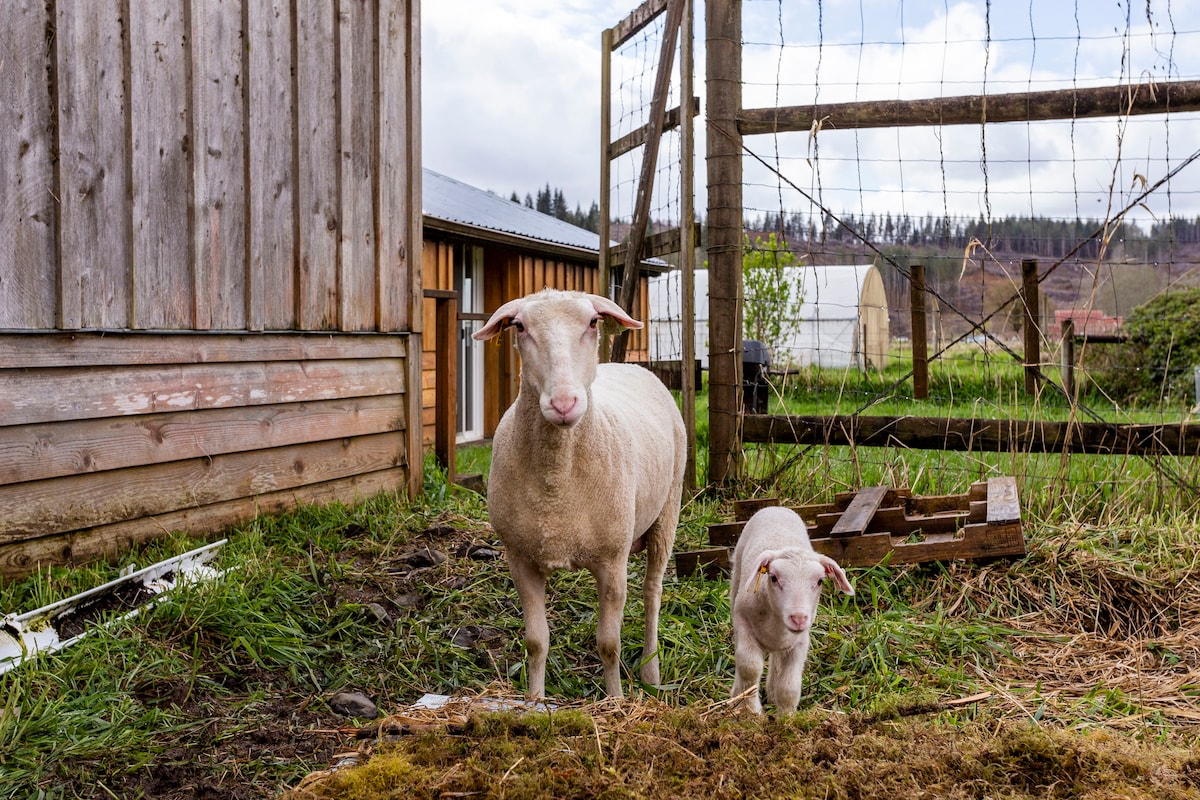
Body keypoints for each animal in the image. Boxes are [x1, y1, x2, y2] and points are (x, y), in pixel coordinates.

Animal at [472, 289, 691, 700]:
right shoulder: (519, 558)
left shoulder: (612, 560)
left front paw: (616, 701)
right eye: (520, 326)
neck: (556, 484)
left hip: (668, 509)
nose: (563, 404)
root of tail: (630, 366)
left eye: (592, 323)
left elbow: (609, 644)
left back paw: (651, 672)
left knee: (652, 593)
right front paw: (534, 701)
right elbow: (536, 642)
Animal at [729, 506, 854, 714]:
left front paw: (787, 717)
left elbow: (789, 686)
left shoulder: (800, 641)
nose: (798, 618)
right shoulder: (743, 622)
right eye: (773, 577)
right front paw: (748, 709)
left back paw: (772, 693)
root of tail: (777, 507)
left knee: (777, 660)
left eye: (820, 581)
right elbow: (749, 666)